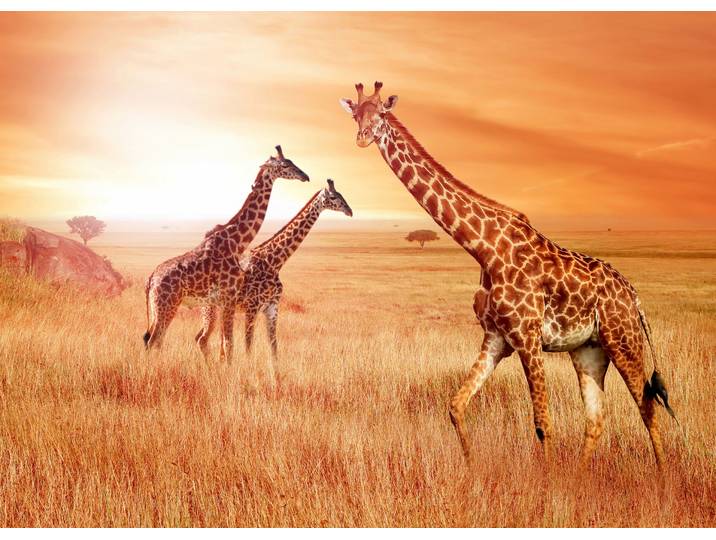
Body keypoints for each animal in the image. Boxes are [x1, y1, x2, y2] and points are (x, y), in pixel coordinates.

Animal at [143, 146, 309, 361]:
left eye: (291, 161)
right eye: (284, 165)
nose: (305, 176)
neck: (236, 242)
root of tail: (150, 280)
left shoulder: (226, 300)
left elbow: (226, 344)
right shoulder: (229, 297)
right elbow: (229, 345)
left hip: (160, 308)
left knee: (155, 340)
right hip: (167, 305)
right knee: (154, 341)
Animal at [194, 179, 352, 366]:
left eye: (342, 194)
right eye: (334, 197)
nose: (349, 211)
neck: (275, 262)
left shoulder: (272, 307)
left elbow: (274, 347)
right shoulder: (252, 307)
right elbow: (248, 346)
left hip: (222, 309)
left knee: (210, 341)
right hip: (210, 308)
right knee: (203, 339)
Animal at [340, 82, 676, 468]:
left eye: (381, 113)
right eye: (355, 114)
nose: (362, 138)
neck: (483, 247)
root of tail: (633, 294)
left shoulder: (527, 336)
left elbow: (543, 423)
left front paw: (549, 485)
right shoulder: (496, 338)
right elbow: (456, 406)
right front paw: (471, 472)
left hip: (623, 340)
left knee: (647, 409)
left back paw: (662, 480)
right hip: (589, 350)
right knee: (596, 419)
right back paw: (581, 478)